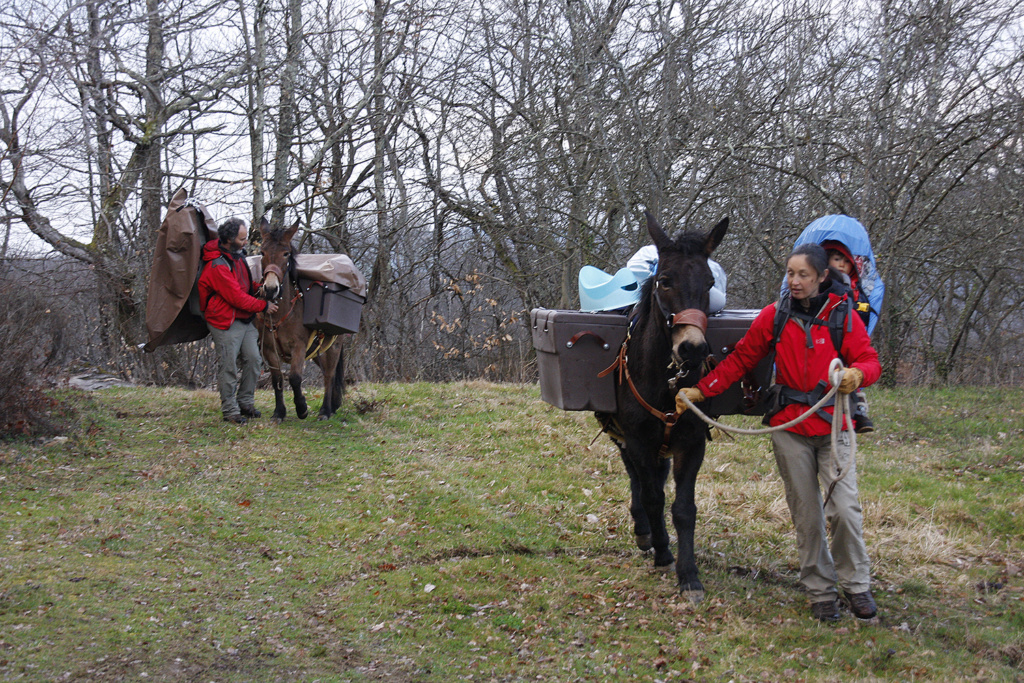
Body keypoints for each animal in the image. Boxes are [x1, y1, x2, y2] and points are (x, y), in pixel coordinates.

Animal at [254, 219, 344, 421]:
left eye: (286, 253)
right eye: (262, 252)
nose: (270, 289)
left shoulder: (299, 346)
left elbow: (295, 377)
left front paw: (302, 407)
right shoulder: (269, 349)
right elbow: (277, 379)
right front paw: (279, 412)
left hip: (333, 347)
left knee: (329, 375)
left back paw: (325, 410)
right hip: (317, 351)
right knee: (327, 374)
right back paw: (333, 406)